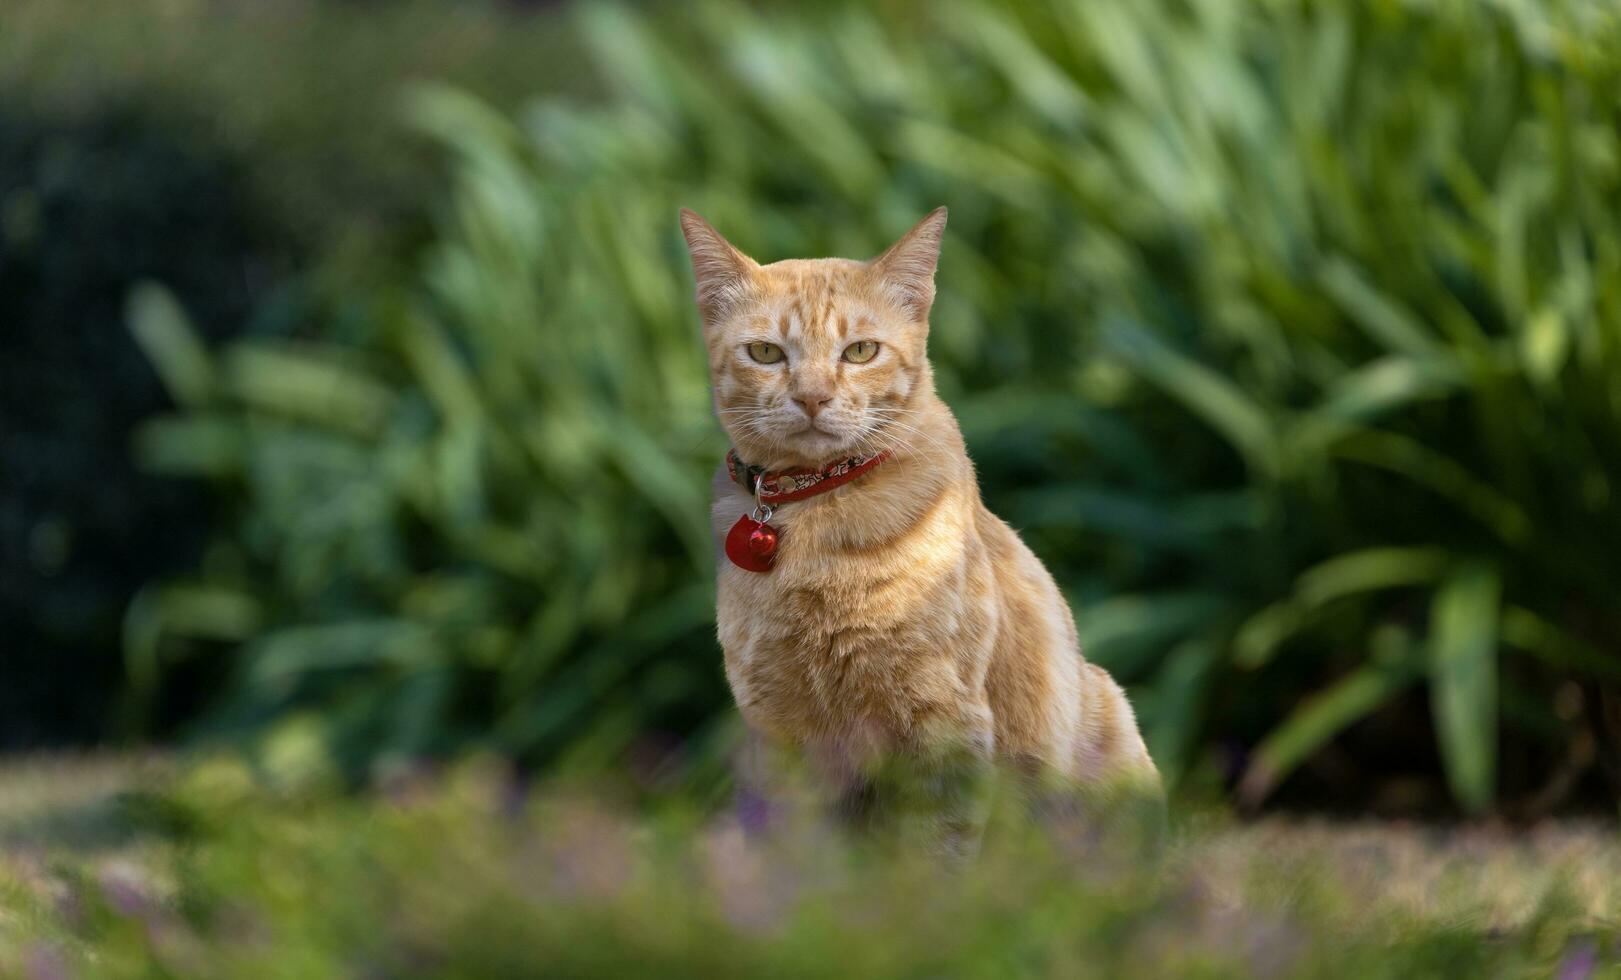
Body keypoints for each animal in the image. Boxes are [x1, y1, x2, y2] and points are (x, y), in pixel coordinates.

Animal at [684, 206, 1167, 842]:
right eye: (765, 353)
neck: (815, 507)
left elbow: (930, 852)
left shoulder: (942, 723)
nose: (812, 398)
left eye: (861, 351)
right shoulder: (780, 732)